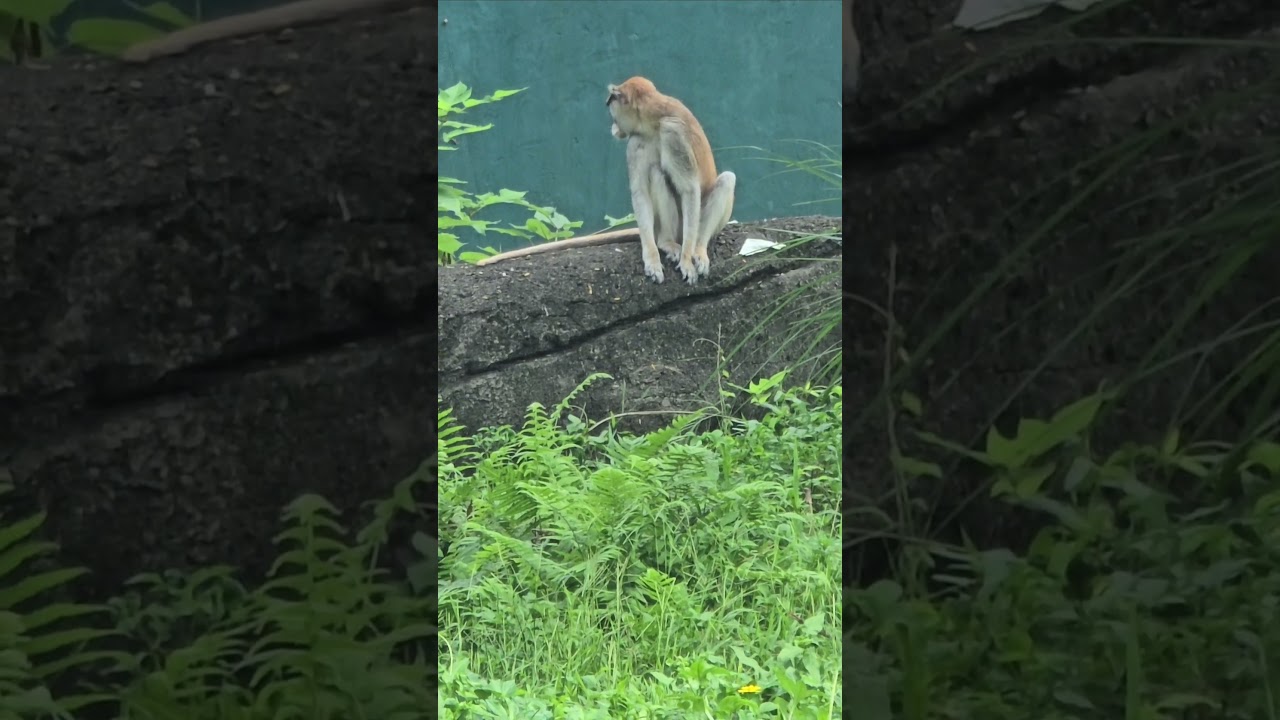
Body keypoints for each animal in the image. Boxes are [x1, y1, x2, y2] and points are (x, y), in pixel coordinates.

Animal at [476, 77, 735, 285]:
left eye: (612, 107)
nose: (613, 126)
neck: (654, 118)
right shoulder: (636, 143)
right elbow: (641, 193)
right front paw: (652, 257)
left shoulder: (672, 135)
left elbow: (689, 190)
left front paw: (687, 260)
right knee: (656, 173)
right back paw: (666, 242)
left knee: (726, 180)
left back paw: (697, 249)